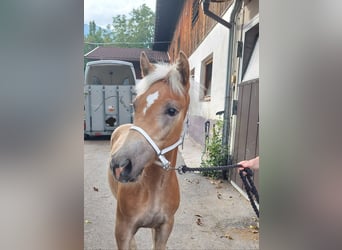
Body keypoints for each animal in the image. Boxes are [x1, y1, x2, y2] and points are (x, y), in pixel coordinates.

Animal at [108, 51, 191, 250]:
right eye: (135, 104)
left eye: (172, 110)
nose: (121, 165)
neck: (152, 188)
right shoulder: (122, 230)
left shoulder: (165, 227)